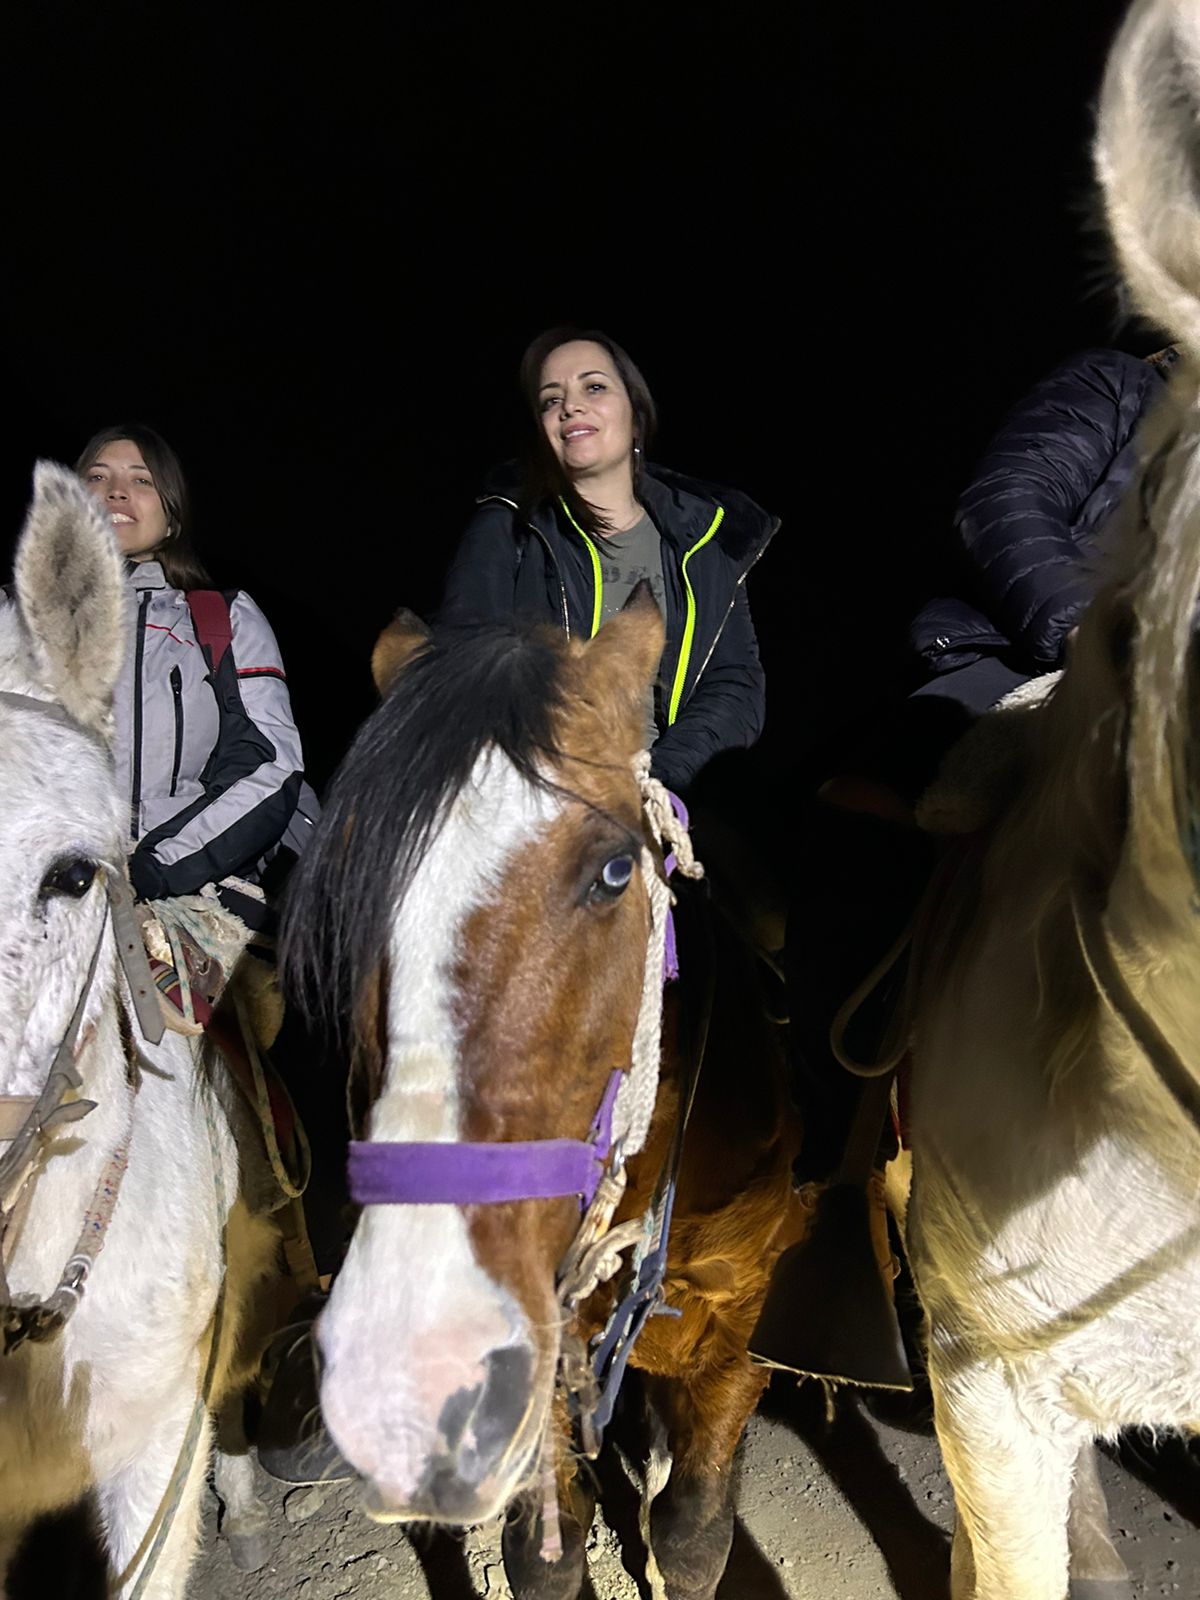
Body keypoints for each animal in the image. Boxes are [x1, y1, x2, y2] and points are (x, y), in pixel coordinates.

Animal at [283, 592, 809, 1600]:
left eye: (613, 872)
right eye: (349, 888)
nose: (409, 1371)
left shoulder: (736, 1325)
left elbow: (693, 1536)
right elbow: (543, 1560)